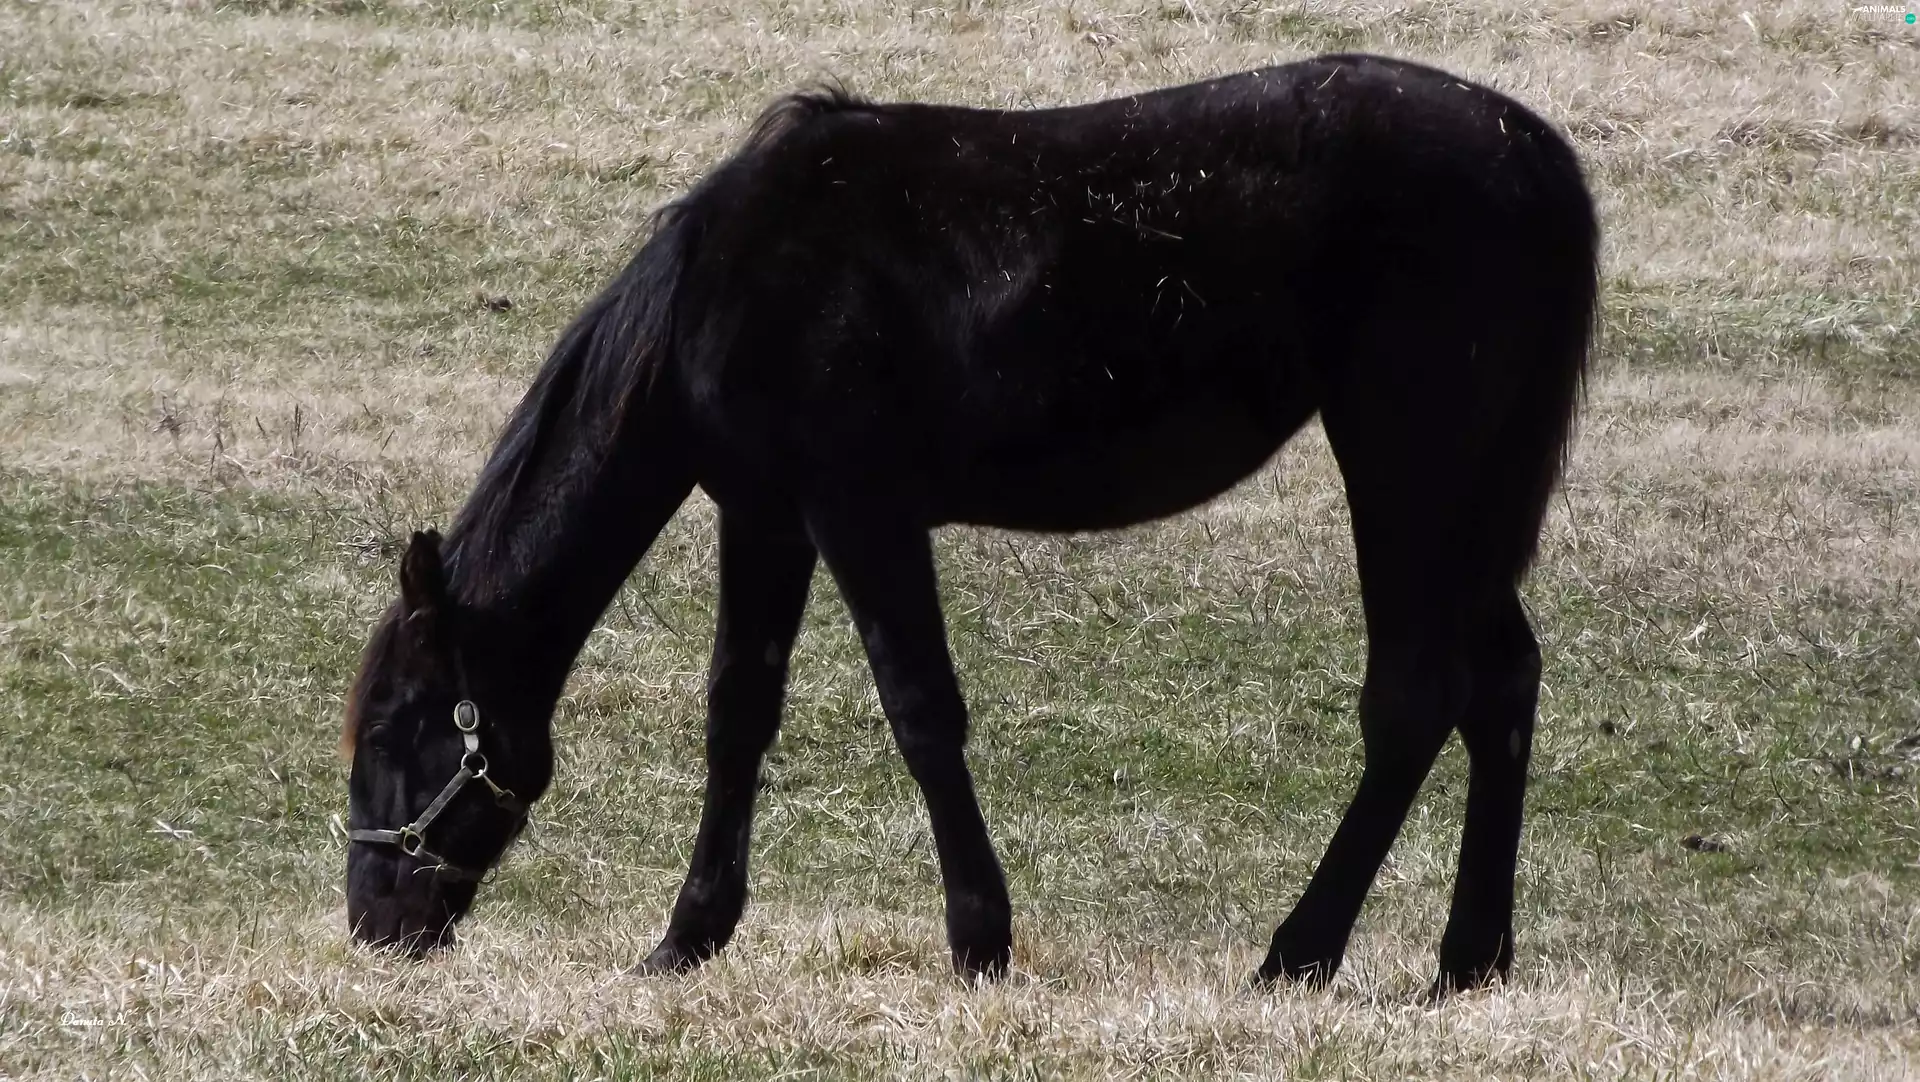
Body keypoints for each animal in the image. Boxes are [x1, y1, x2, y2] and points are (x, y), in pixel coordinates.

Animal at [339, 52, 1598, 996]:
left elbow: (921, 711)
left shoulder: (860, 508)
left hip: (1410, 463)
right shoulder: (767, 514)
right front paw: (687, 935)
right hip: (1467, 495)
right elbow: (738, 712)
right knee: (1501, 686)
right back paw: (1466, 961)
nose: (373, 922)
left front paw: (979, 937)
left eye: (398, 727)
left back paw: (1298, 952)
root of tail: (1533, 150)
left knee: (1414, 698)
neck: (728, 282)